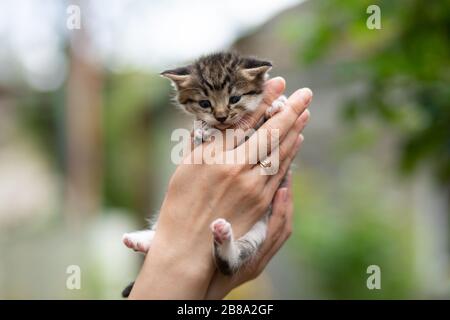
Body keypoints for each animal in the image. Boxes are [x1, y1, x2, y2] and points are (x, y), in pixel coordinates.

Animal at [121, 52, 286, 298]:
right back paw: (144, 241)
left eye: (235, 98)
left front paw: (277, 104)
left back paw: (222, 238)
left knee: (233, 261)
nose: (221, 116)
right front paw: (202, 129)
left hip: (261, 226)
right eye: (204, 103)